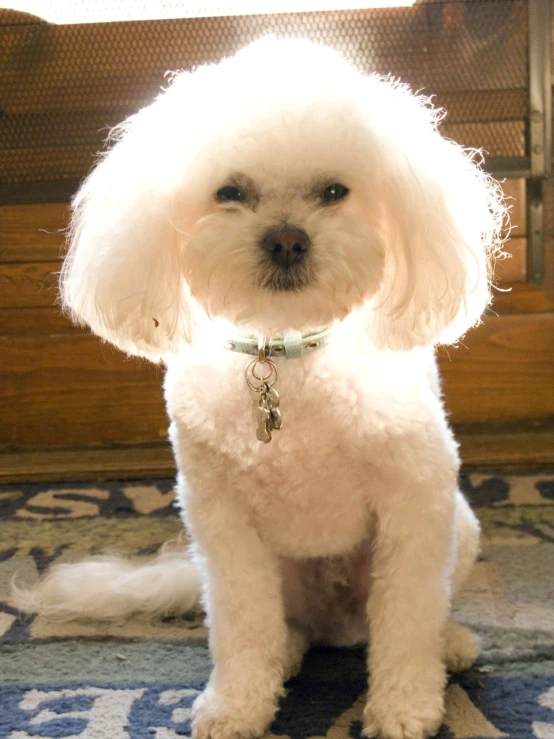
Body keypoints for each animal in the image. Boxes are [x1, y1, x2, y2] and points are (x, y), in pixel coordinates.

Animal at [17, 37, 506, 739]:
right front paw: (237, 705)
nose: (286, 240)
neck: (287, 354)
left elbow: (407, 619)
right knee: (288, 626)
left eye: (334, 191)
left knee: (408, 616)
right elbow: (243, 625)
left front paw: (406, 706)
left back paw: (451, 644)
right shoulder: (221, 523)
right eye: (230, 191)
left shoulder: (413, 501)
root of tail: (337, 621)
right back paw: (290, 654)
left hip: (456, 527)